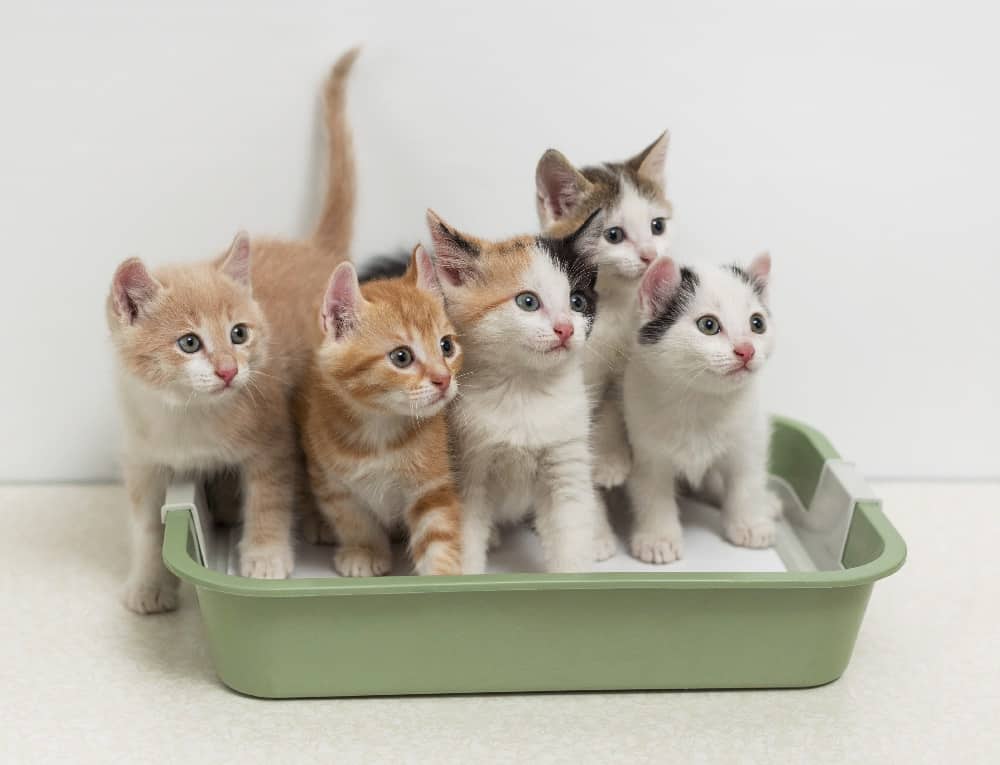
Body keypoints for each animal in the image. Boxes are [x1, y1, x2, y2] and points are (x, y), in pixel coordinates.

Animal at [108, 47, 360, 612]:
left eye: (239, 334)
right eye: (189, 343)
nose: (227, 371)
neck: (187, 419)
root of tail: (314, 249)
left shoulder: (272, 439)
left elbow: (268, 497)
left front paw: (264, 558)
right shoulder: (142, 462)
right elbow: (144, 527)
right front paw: (147, 583)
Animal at [294, 248, 462, 576]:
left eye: (446, 346)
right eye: (401, 357)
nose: (444, 379)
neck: (380, 429)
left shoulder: (431, 484)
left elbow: (438, 532)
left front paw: (443, 575)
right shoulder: (332, 482)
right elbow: (352, 519)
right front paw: (365, 551)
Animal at [532, 134, 672, 486]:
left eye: (657, 226)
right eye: (613, 235)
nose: (651, 255)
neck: (613, 307)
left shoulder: (625, 367)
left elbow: (615, 405)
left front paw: (611, 457)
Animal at [624, 255, 780, 560]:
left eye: (757, 323)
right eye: (708, 325)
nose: (747, 350)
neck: (700, 399)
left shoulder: (750, 437)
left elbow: (747, 481)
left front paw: (750, 524)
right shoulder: (645, 448)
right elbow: (652, 492)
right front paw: (658, 538)